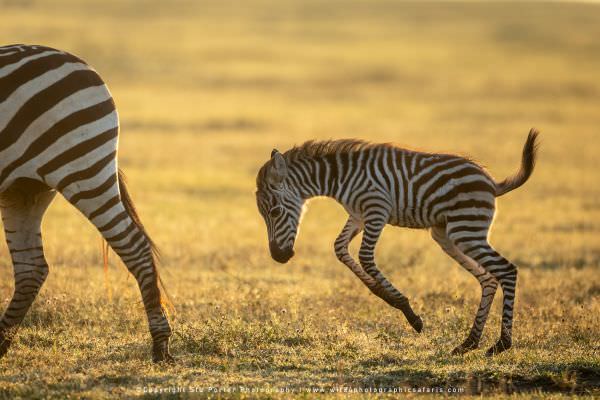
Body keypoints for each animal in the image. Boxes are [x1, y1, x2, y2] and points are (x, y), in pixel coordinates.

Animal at [0, 44, 173, 362]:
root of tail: (81, 63)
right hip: (24, 188)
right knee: (31, 267)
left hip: (82, 166)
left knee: (135, 246)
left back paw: (160, 345)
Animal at [254, 132, 540, 356]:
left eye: (275, 212)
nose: (278, 256)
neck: (338, 177)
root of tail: (492, 183)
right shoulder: (358, 215)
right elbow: (340, 249)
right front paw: (383, 295)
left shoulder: (376, 209)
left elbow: (365, 257)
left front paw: (408, 312)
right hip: (448, 235)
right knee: (488, 278)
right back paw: (469, 343)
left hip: (466, 229)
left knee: (506, 270)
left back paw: (501, 344)